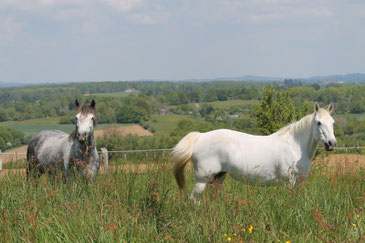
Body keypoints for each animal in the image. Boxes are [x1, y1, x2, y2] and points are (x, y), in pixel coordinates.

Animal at [171, 101, 336, 202]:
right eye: (318, 122)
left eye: (333, 123)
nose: (332, 143)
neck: (294, 146)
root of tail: (201, 136)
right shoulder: (289, 181)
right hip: (202, 179)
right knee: (193, 199)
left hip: (219, 177)